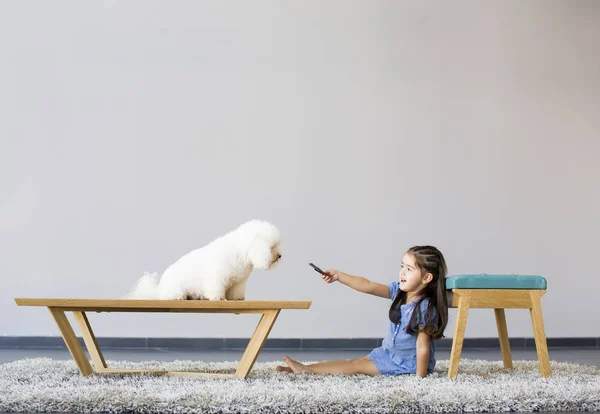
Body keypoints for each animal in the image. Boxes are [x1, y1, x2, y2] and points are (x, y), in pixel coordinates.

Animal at [125, 220, 284, 300]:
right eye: (272, 247)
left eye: (277, 245)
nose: (280, 256)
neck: (241, 251)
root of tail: (158, 289)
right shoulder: (217, 275)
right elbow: (215, 287)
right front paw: (218, 298)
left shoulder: (239, 282)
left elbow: (236, 291)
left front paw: (236, 298)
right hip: (175, 289)